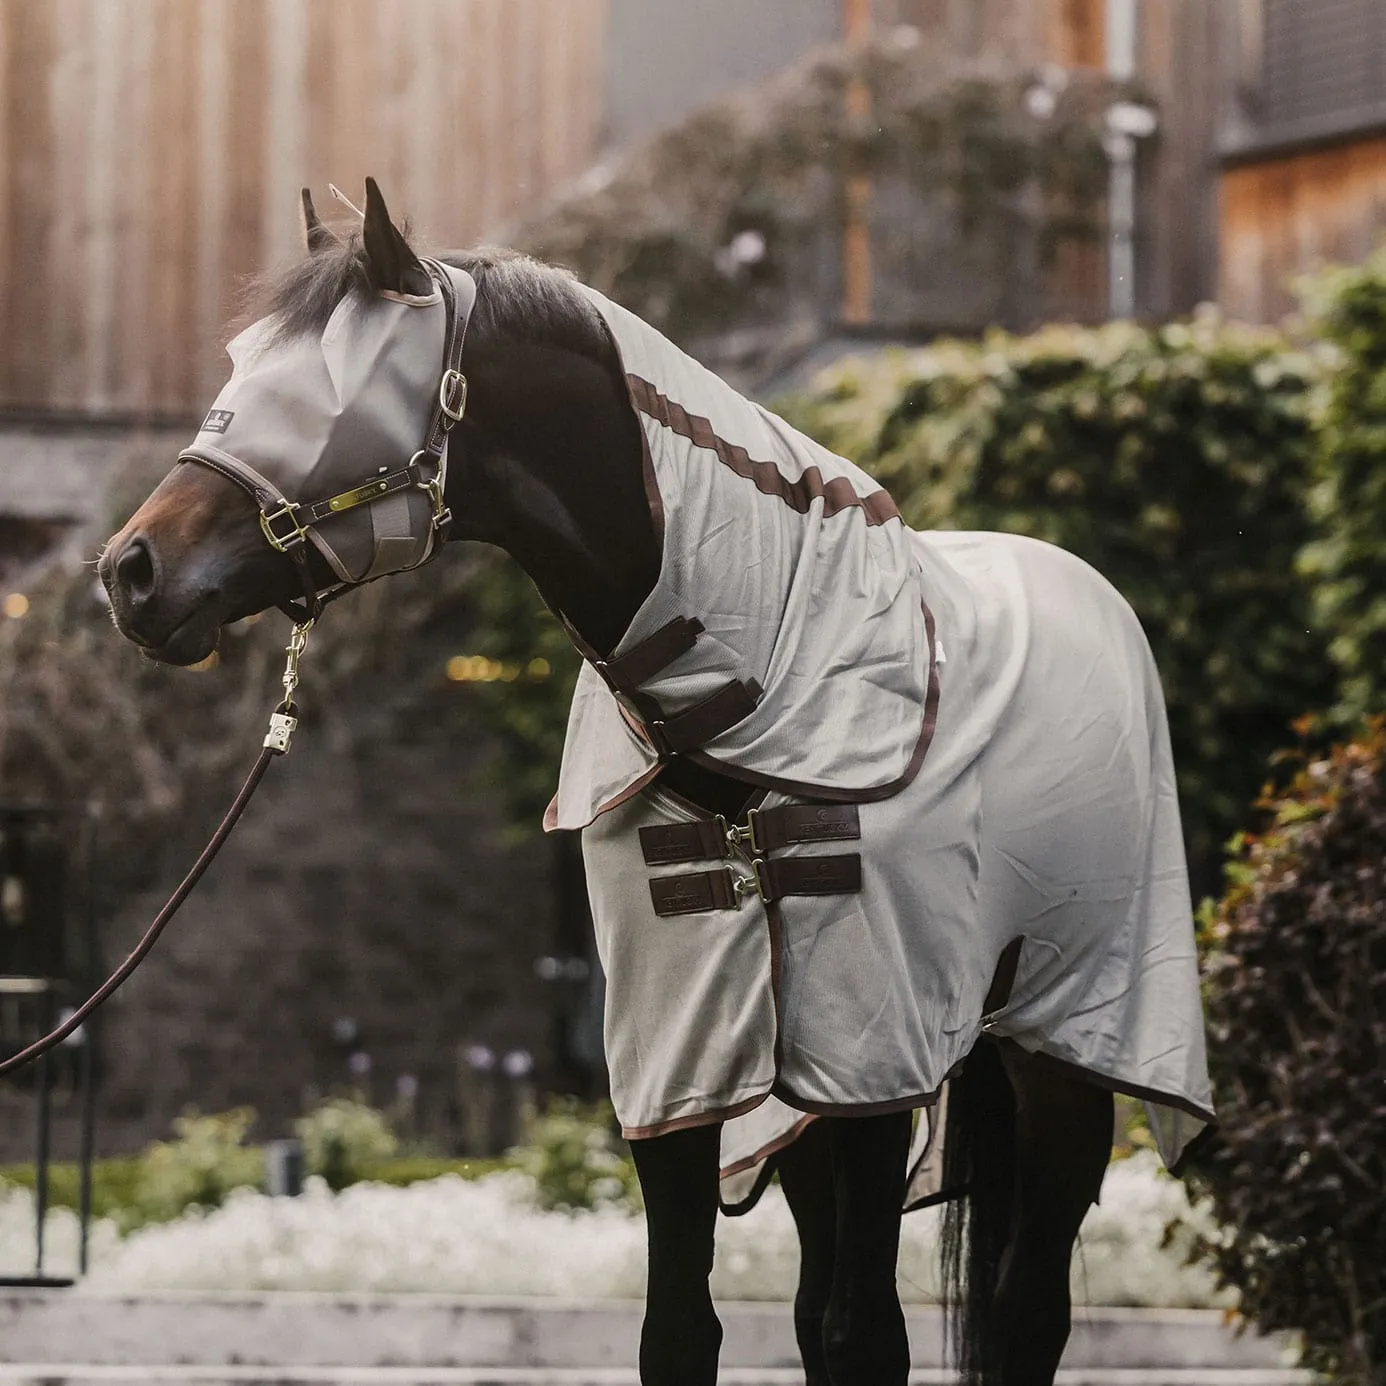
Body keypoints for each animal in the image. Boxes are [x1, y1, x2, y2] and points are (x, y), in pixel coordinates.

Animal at [100, 178, 1214, 1380]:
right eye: (238, 365)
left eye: (324, 392)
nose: (131, 573)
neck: (751, 693)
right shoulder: (682, 1051)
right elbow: (686, 1328)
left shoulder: (876, 1052)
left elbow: (867, 1333)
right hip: (796, 1101)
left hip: (1068, 1040)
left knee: (1024, 1309)